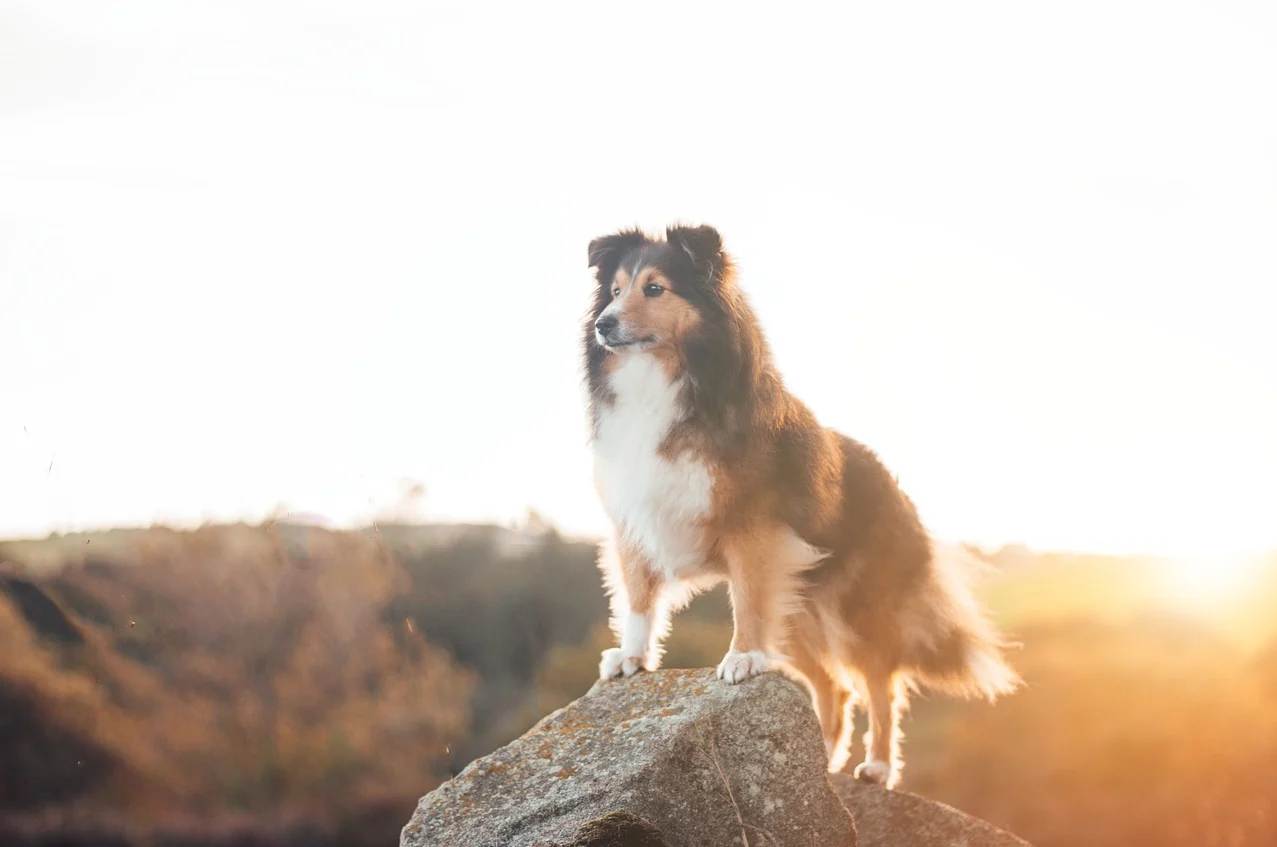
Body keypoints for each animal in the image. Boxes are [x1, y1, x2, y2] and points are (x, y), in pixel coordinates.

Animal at [582, 219, 1016, 786]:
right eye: (614, 291)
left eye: (655, 288)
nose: (603, 325)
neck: (666, 380)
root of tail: (896, 486)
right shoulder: (635, 521)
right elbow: (638, 598)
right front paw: (631, 659)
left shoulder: (752, 530)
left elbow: (746, 602)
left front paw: (741, 658)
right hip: (795, 606)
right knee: (835, 687)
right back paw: (825, 766)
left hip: (852, 607)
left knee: (880, 683)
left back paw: (877, 766)